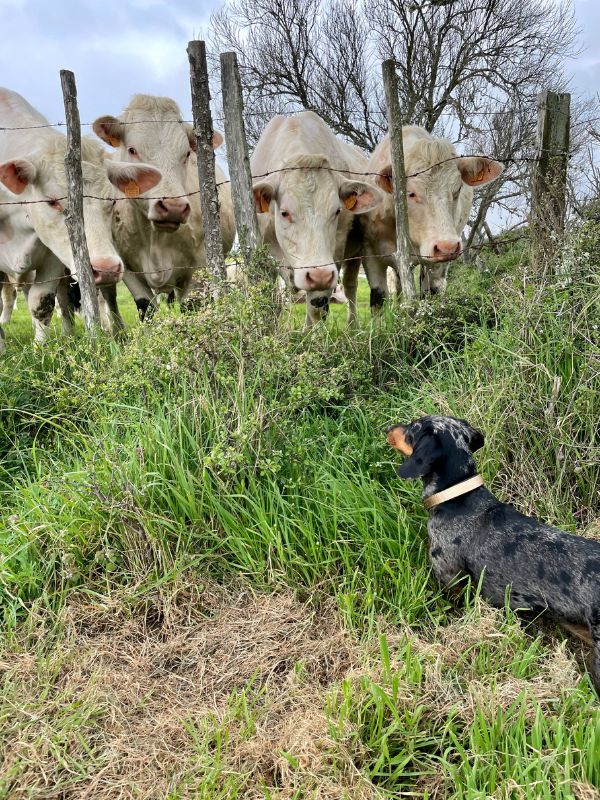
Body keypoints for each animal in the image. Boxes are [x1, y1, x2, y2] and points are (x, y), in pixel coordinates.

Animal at [0, 89, 161, 348]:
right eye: (52, 201)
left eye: (112, 201)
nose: (106, 268)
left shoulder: (53, 256)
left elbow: (42, 301)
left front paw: (41, 349)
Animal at [92, 94, 236, 318]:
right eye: (132, 150)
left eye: (187, 154)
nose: (173, 207)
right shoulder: (126, 266)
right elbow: (146, 307)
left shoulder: (199, 266)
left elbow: (192, 306)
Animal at [250, 111, 382, 326]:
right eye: (284, 212)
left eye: (337, 211)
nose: (318, 274)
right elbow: (270, 304)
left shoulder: (332, 258)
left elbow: (316, 309)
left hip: (355, 253)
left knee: (350, 286)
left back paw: (353, 326)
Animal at [342, 125, 506, 318]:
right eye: (410, 193)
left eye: (457, 189)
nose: (447, 247)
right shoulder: (370, 253)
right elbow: (378, 299)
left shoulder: (436, 262)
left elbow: (431, 293)